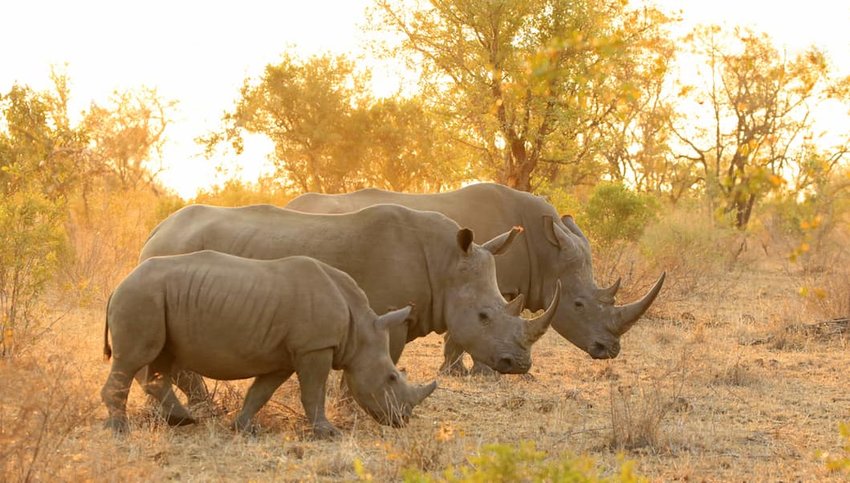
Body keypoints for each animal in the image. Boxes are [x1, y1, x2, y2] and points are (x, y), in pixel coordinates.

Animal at [101, 251, 438, 440]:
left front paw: (242, 428)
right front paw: (328, 433)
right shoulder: (314, 347)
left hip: (154, 298)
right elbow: (313, 392)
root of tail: (119, 284)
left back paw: (182, 421)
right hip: (142, 295)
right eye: (392, 378)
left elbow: (261, 392)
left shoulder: (286, 356)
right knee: (134, 359)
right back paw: (120, 430)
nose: (403, 420)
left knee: (161, 360)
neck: (360, 329)